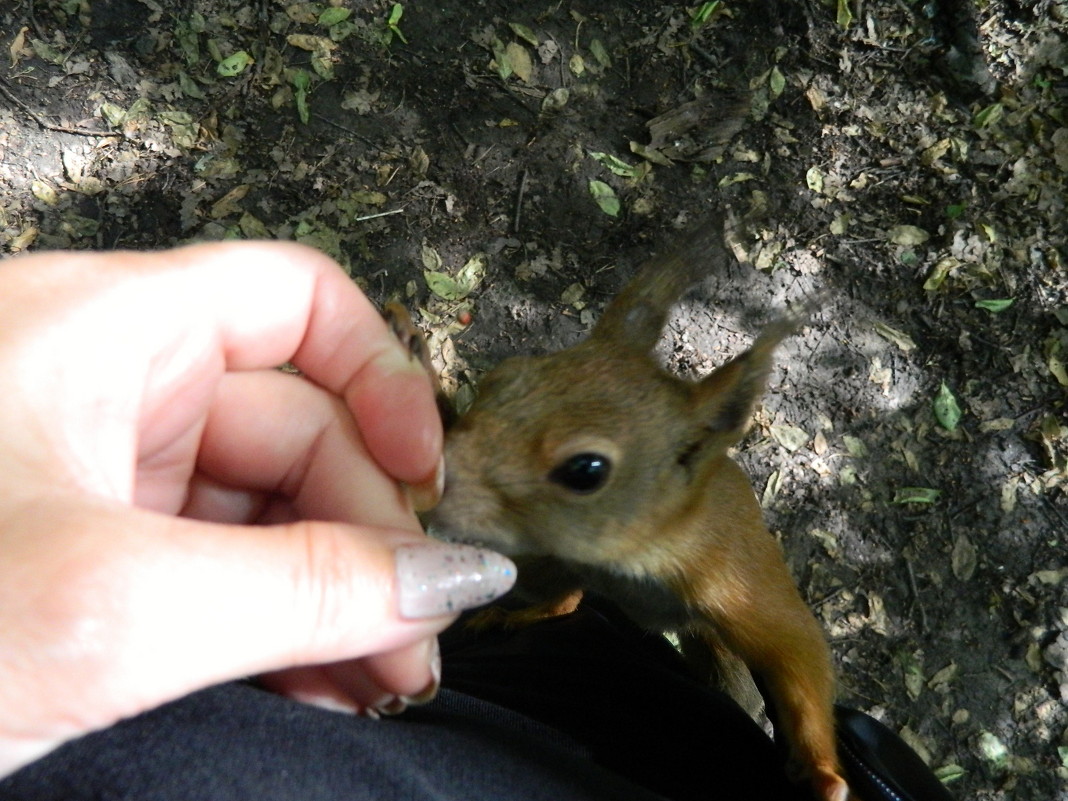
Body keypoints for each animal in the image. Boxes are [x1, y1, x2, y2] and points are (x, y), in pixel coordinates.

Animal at [390, 224, 850, 801]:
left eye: (586, 470)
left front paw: (824, 776)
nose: (438, 477)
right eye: (501, 377)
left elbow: (797, 647)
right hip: (549, 568)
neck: (632, 557)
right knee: (562, 602)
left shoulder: (734, 580)